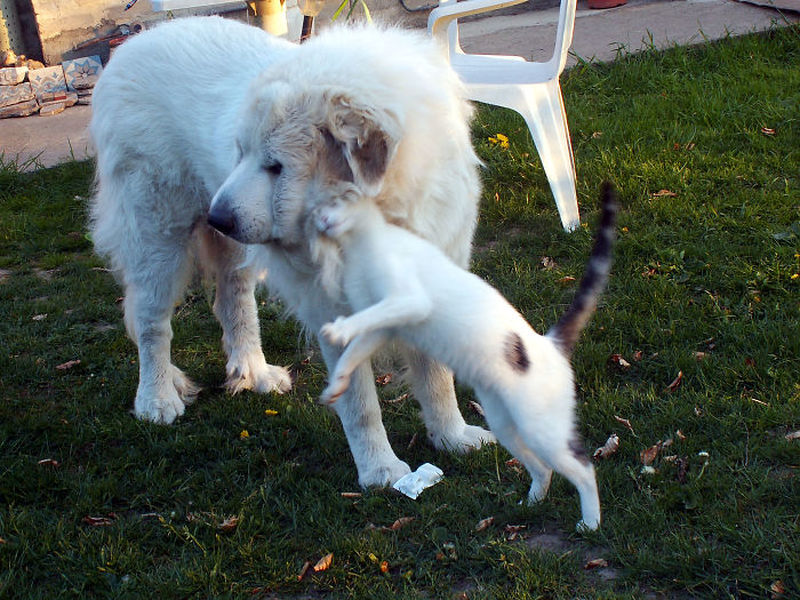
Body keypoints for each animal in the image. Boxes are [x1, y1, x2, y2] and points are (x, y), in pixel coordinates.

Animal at [89, 17, 494, 488]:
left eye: (275, 166)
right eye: (240, 152)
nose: (217, 217)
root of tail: (134, 43)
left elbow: (437, 378)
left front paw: (453, 436)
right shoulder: (335, 313)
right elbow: (360, 404)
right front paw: (380, 470)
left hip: (234, 250)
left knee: (233, 302)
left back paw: (253, 372)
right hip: (158, 235)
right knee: (152, 322)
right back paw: (156, 399)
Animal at [312, 183, 620, 528]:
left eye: (339, 201)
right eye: (317, 208)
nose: (320, 219)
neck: (361, 246)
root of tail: (549, 342)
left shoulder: (409, 301)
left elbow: (361, 322)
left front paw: (338, 328)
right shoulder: (385, 327)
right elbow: (354, 351)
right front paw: (336, 384)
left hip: (540, 427)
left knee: (584, 467)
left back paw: (590, 523)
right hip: (504, 424)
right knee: (543, 468)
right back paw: (530, 503)